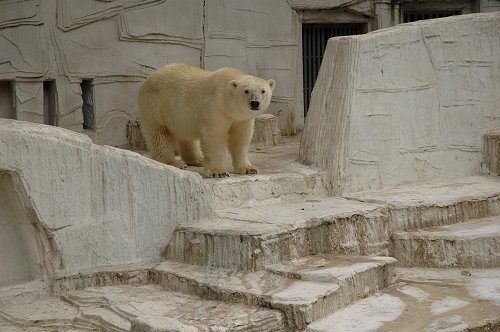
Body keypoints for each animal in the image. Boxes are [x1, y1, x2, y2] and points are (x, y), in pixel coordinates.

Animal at [139, 65, 276, 179]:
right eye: (246, 91)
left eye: (263, 91)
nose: (255, 103)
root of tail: (148, 79)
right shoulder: (216, 108)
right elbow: (214, 136)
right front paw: (218, 172)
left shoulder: (241, 119)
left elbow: (240, 139)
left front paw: (249, 168)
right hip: (157, 105)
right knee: (159, 134)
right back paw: (174, 162)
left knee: (187, 137)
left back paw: (198, 159)